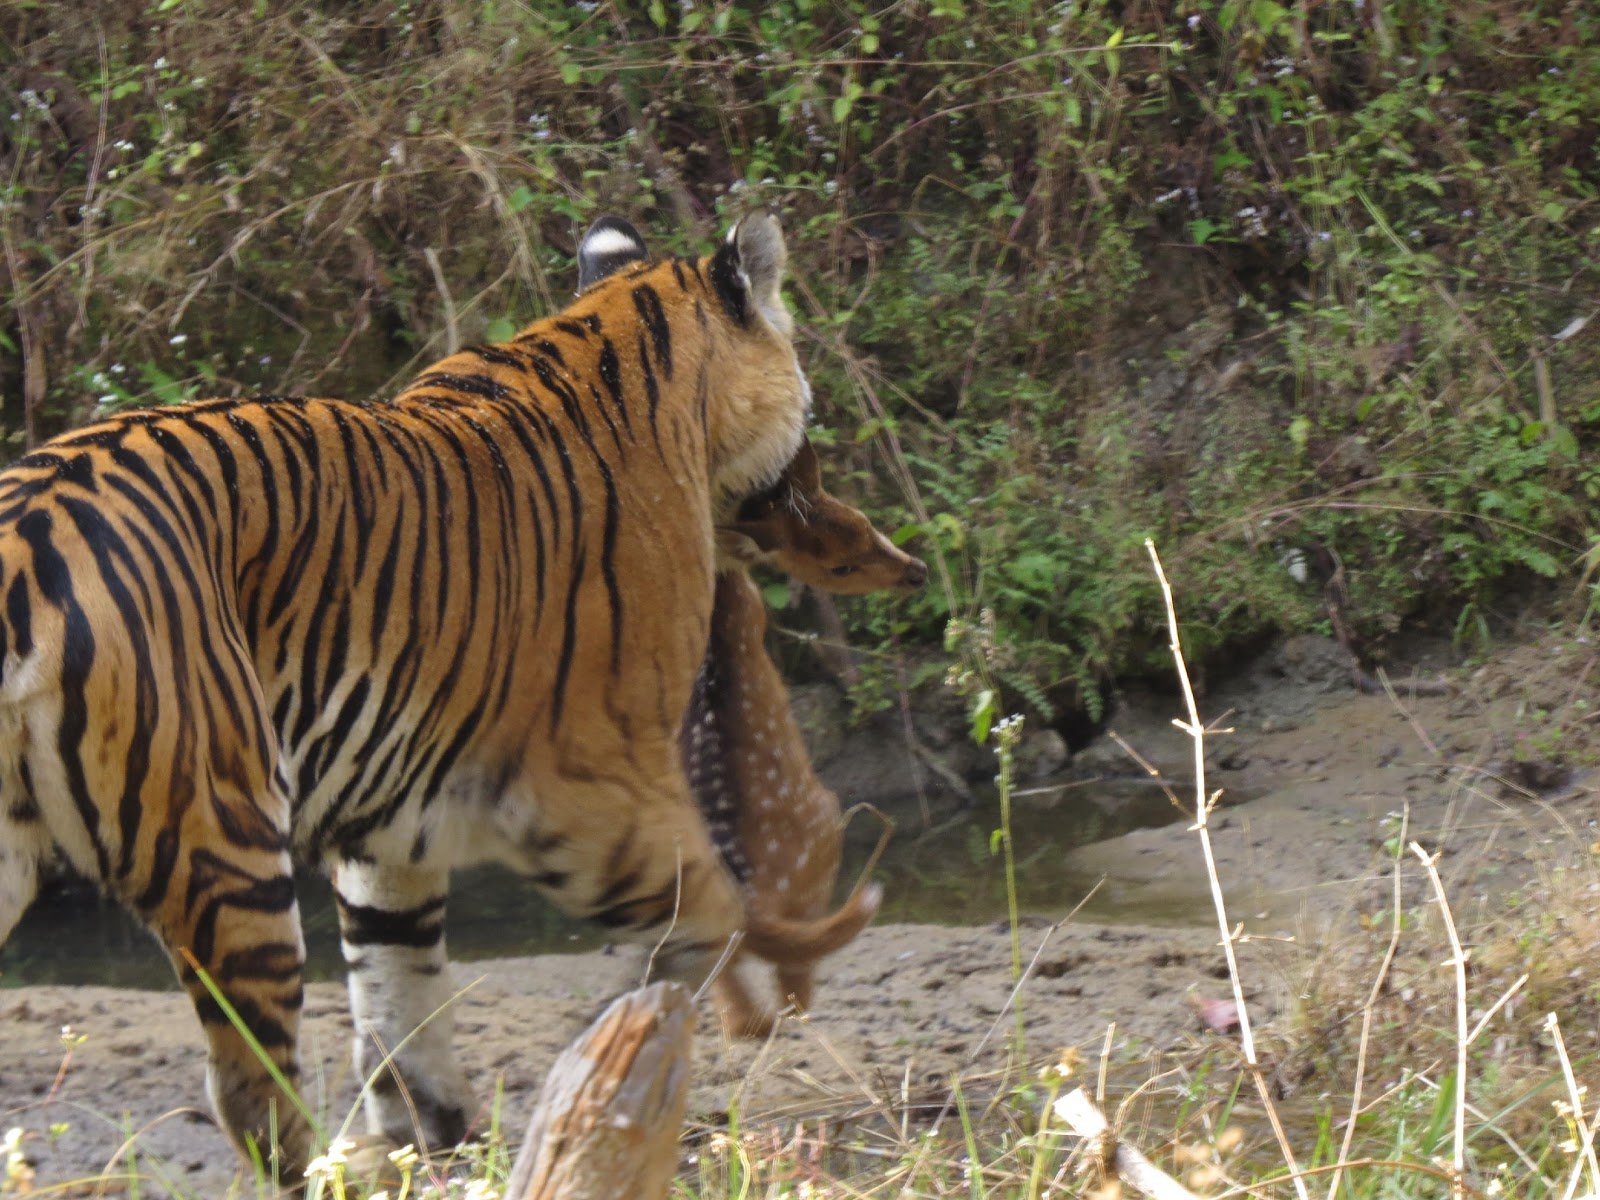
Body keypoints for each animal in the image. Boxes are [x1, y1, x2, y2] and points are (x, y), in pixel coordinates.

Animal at [0, 212, 815, 1175]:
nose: (810, 485)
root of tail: (20, 536)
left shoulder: (391, 817)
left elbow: (398, 986)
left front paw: (432, 1127)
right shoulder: (597, 786)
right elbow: (711, 909)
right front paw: (666, 1028)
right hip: (224, 842)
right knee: (251, 1093)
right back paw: (322, 1172)